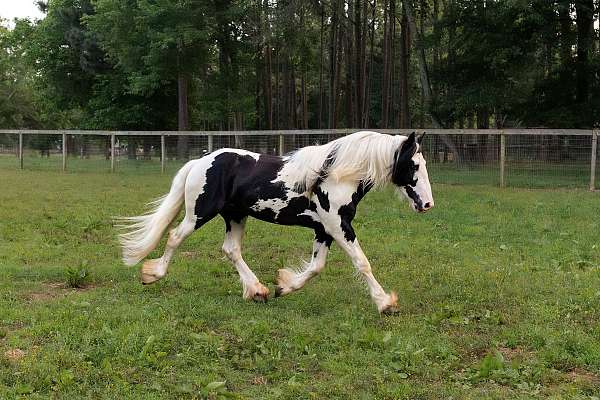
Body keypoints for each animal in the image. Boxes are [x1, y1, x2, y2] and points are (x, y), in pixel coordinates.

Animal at [117, 130, 434, 312]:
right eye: (414, 165)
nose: (428, 204)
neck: (335, 175)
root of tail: (200, 161)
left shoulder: (324, 230)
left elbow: (316, 267)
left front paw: (284, 286)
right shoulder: (338, 226)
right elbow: (362, 262)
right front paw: (385, 303)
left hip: (236, 216)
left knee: (231, 250)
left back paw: (258, 291)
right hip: (199, 213)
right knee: (174, 237)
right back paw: (152, 275)